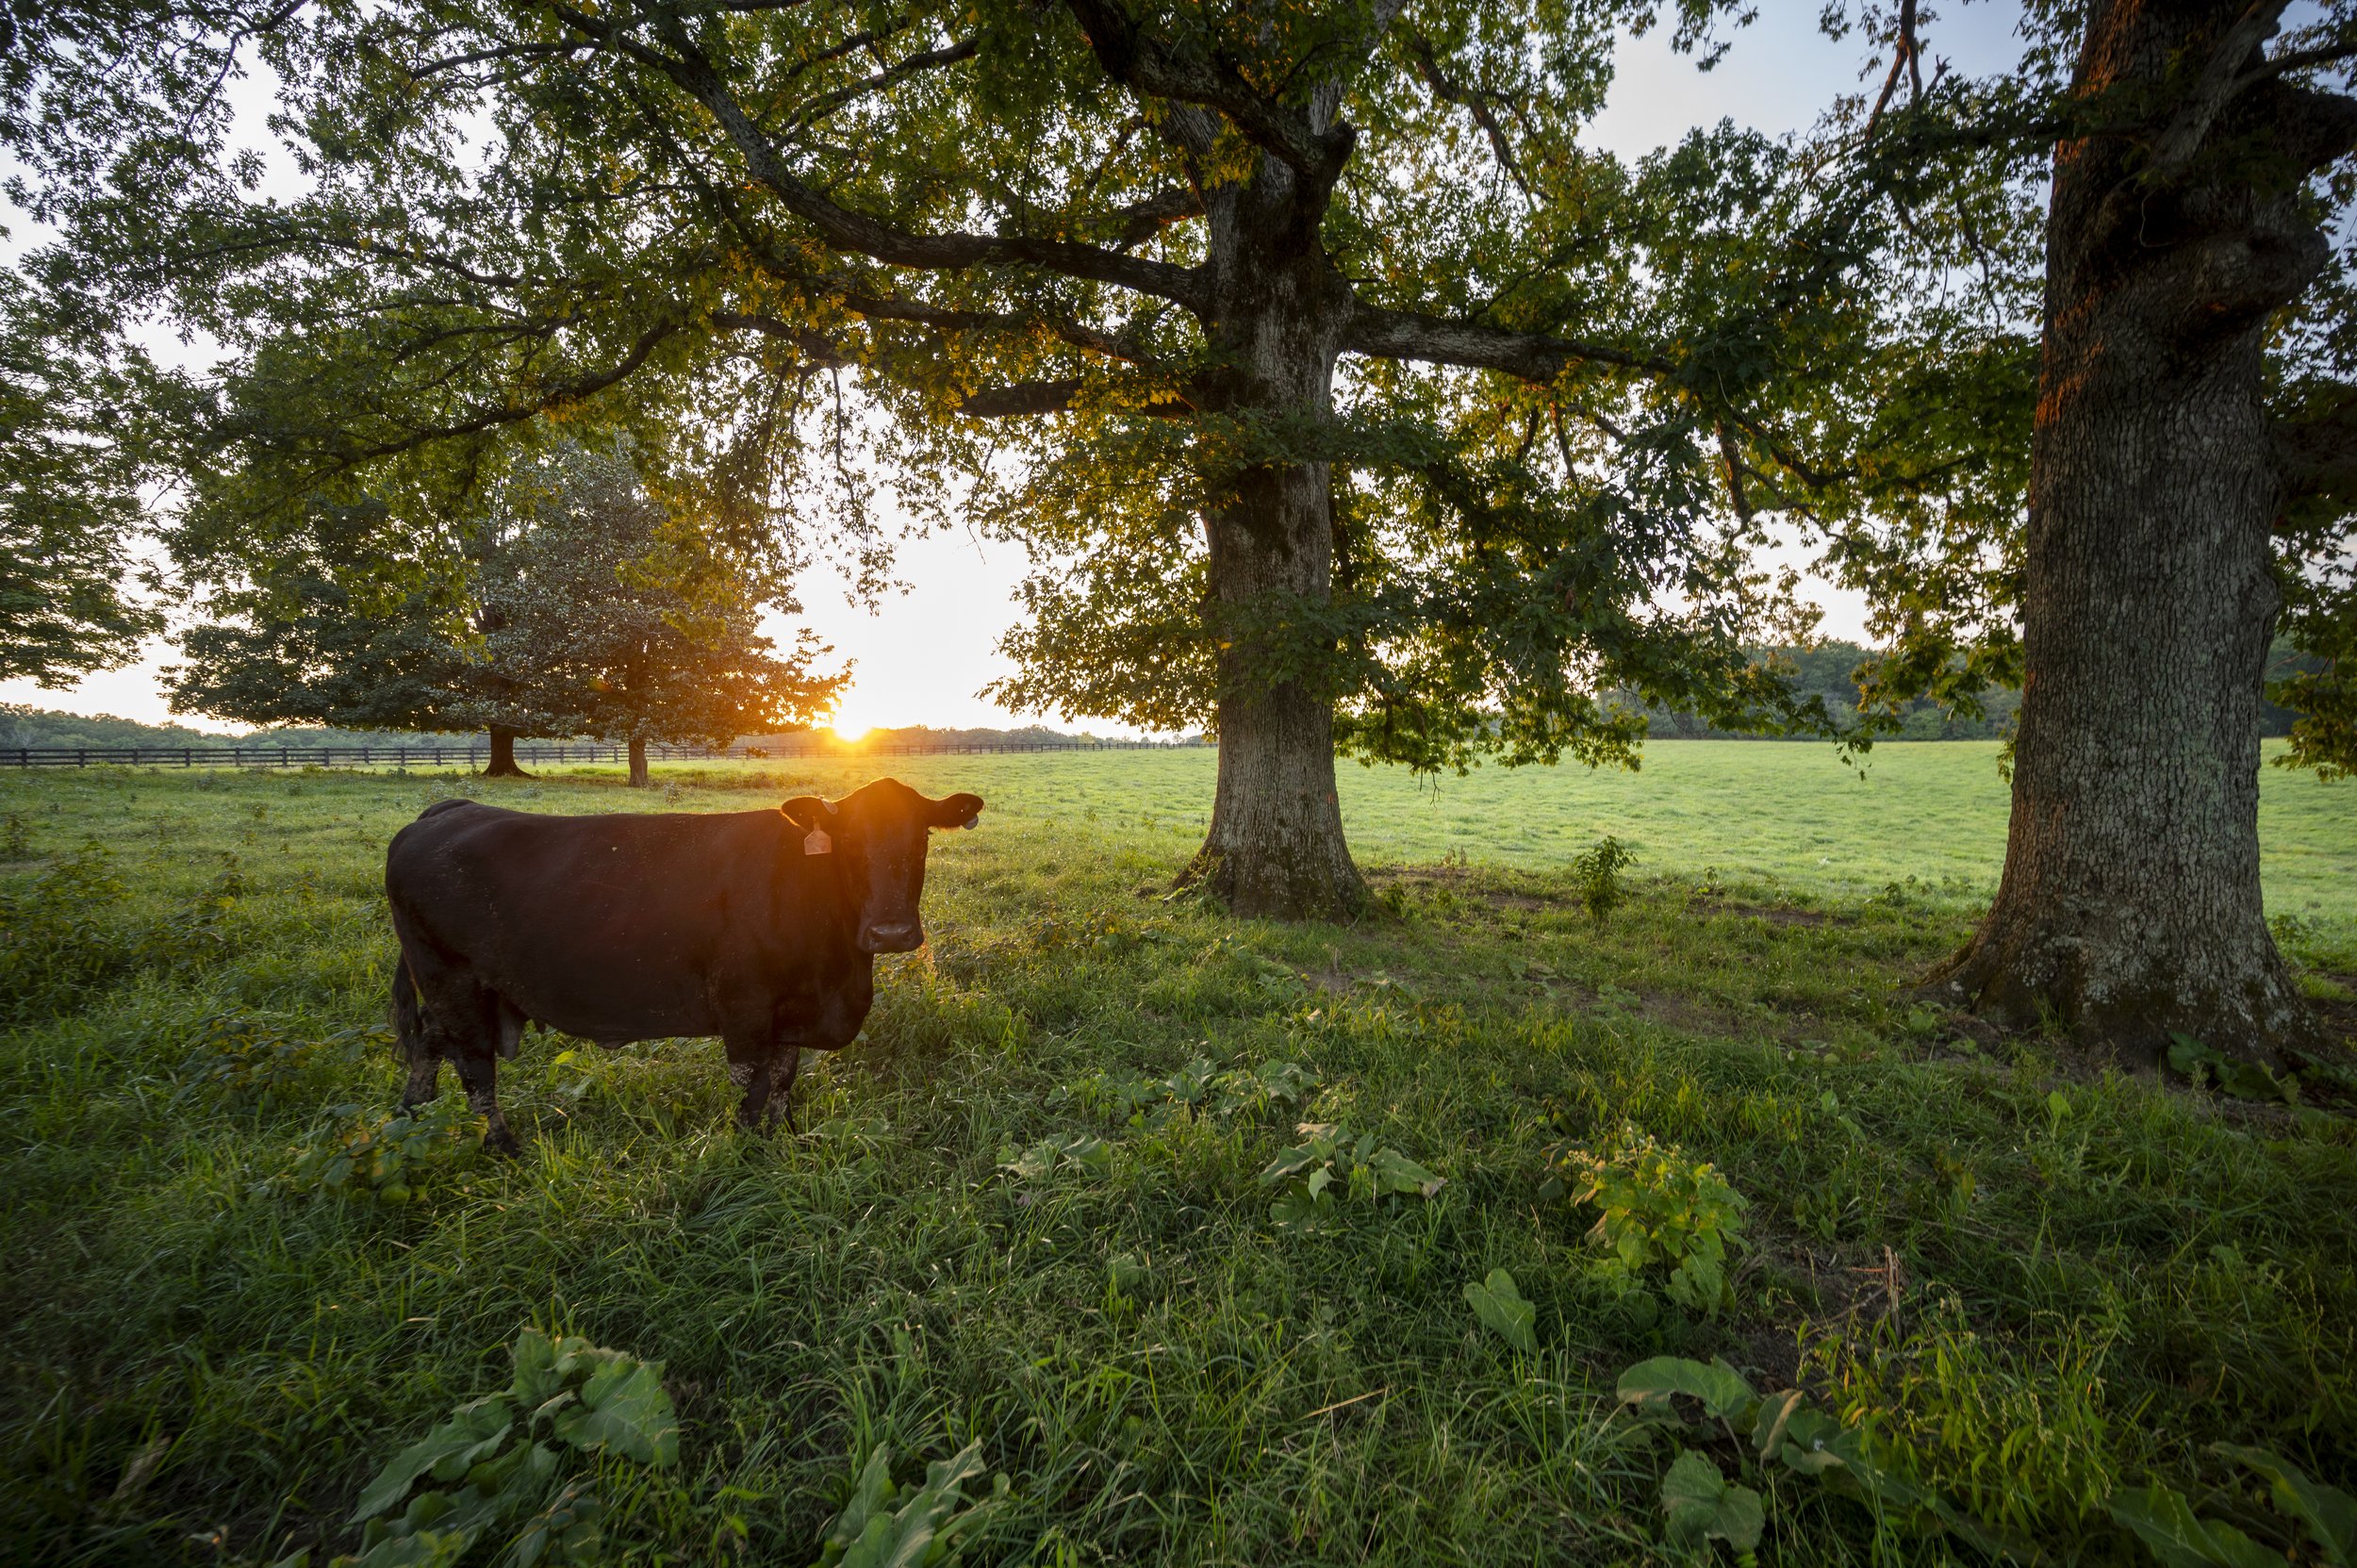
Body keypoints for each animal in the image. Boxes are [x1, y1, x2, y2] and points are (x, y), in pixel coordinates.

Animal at [384, 778, 983, 1151]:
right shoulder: (743, 1005)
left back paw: (411, 1117)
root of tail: (449, 809)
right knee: (475, 1069)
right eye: (848, 840)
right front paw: (748, 1151)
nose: (892, 932)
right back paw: (504, 1148)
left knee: (431, 1046)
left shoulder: (791, 1010)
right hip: (451, 979)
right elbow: (753, 1086)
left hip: (451, 989)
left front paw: (786, 1138)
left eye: (923, 836)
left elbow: (784, 1079)